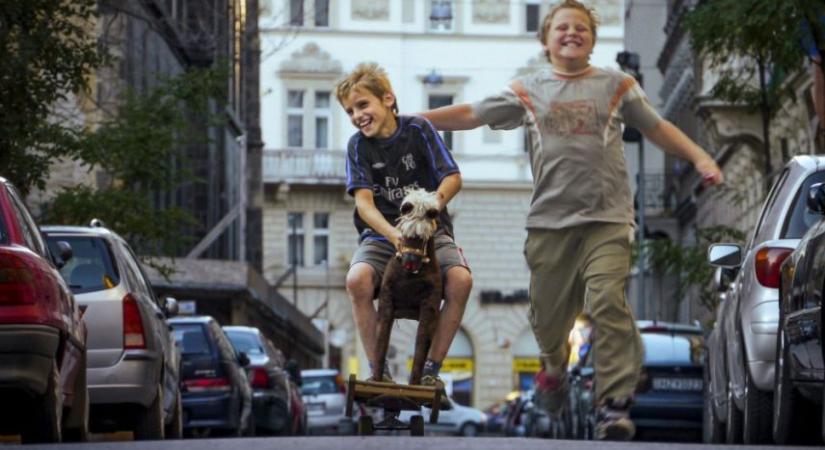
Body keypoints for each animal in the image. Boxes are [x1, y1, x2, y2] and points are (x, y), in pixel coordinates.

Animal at [370, 188, 440, 384]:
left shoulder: (429, 307)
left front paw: (415, 383)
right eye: (403, 234)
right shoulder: (386, 301)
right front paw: (377, 380)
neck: (410, 278)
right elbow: (380, 343)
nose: (410, 262)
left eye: (423, 238)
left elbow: (421, 346)